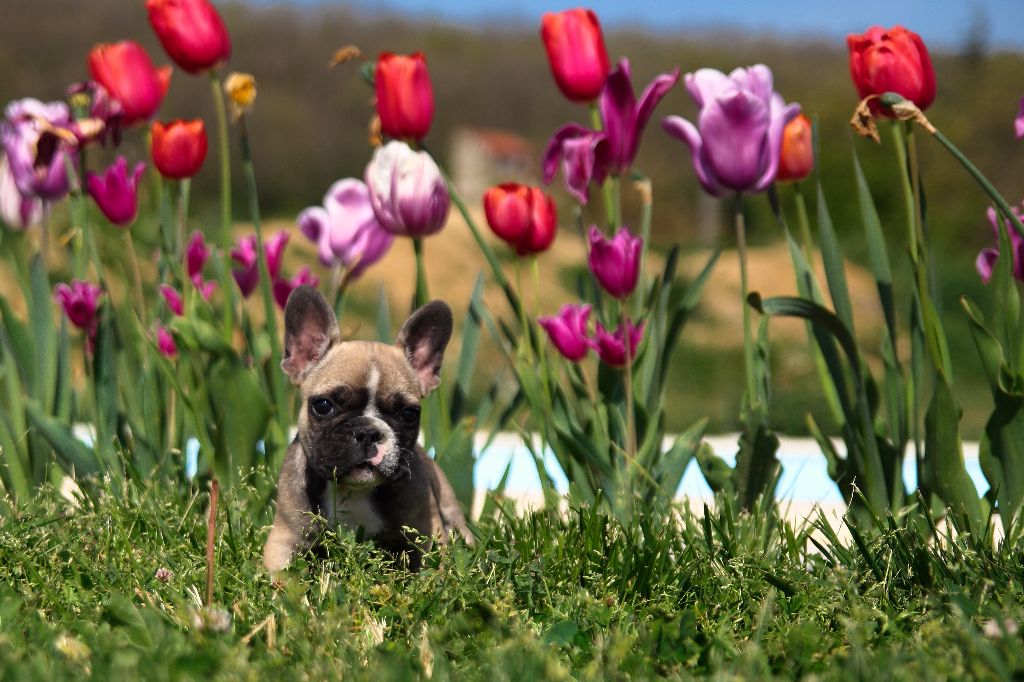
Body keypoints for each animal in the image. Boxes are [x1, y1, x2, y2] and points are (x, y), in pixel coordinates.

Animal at [264, 284, 471, 569]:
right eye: (323, 406)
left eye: (409, 414)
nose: (368, 432)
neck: (353, 491)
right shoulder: (283, 541)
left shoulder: (426, 535)